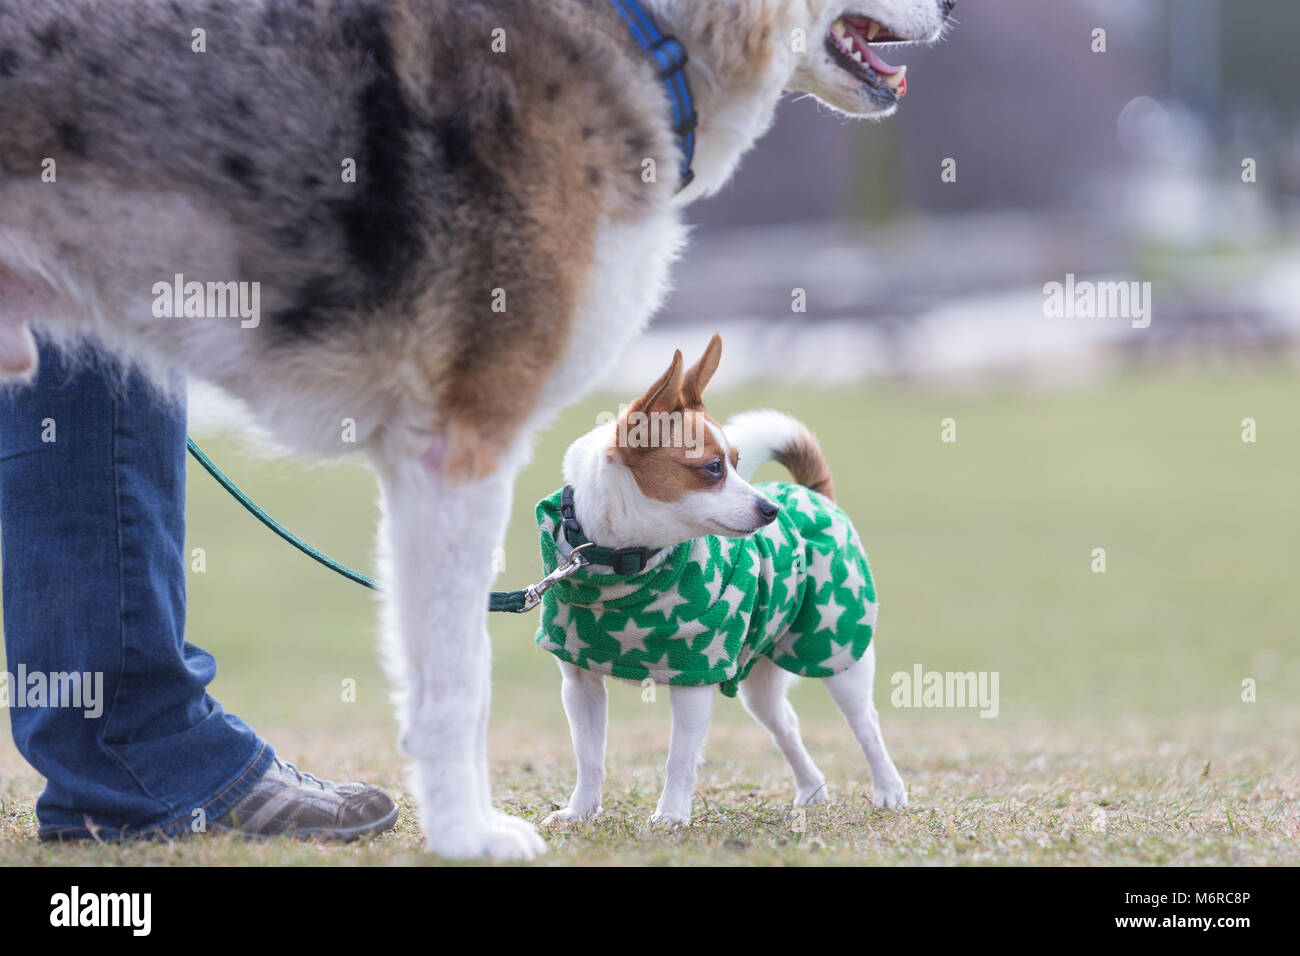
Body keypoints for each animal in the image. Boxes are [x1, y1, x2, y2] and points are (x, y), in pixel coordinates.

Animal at [533, 335, 909, 822]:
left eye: (736, 462)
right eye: (714, 468)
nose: (771, 510)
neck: (625, 564)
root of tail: (813, 495)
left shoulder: (695, 677)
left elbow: (679, 758)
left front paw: (671, 816)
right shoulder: (580, 685)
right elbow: (589, 755)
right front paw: (579, 812)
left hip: (838, 653)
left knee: (867, 726)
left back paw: (889, 790)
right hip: (759, 677)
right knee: (786, 724)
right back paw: (811, 790)